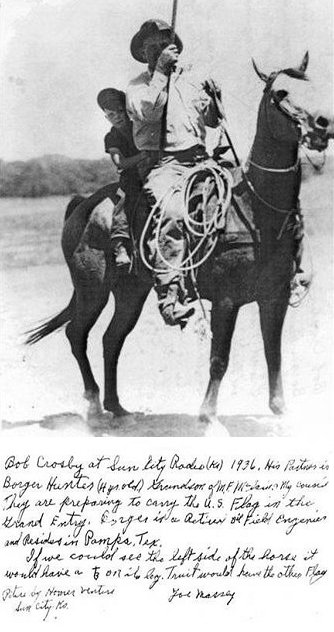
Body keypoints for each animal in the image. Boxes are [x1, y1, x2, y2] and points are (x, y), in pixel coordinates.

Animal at [26, 54, 334, 434]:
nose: (323, 124)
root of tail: (83, 203)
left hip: (131, 292)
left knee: (111, 339)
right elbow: (219, 357)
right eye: (281, 93)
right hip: (92, 289)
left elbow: (272, 352)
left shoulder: (274, 298)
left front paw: (280, 411)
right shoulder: (226, 301)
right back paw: (96, 406)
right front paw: (209, 417)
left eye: (316, 85)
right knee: (76, 334)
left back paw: (118, 408)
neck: (254, 209)